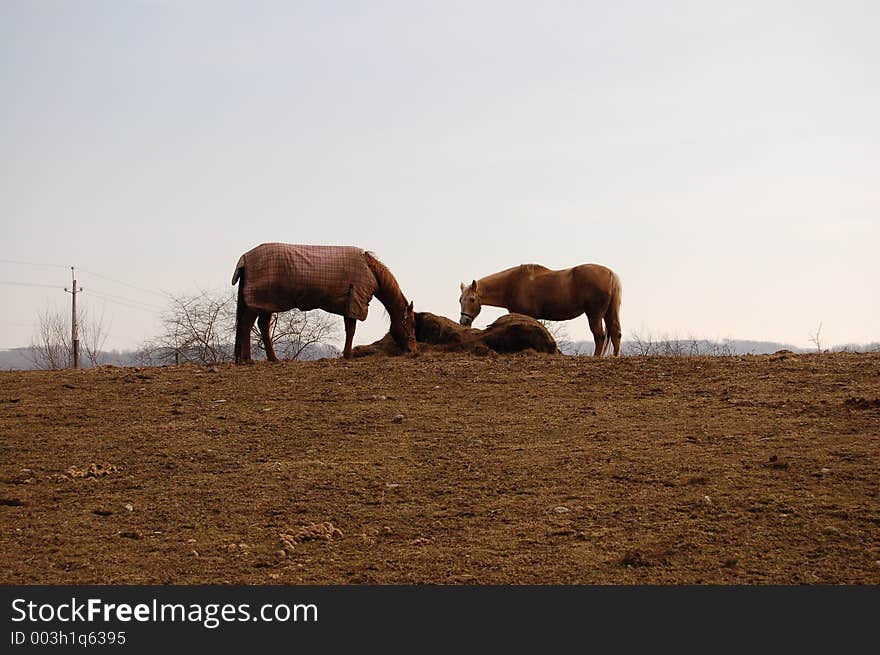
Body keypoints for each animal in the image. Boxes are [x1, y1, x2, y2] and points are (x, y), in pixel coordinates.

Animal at [230, 243, 416, 364]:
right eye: (411, 323)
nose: (413, 350)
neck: (370, 270)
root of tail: (245, 258)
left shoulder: (349, 305)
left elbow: (349, 330)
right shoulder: (354, 303)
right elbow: (351, 330)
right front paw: (347, 355)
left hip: (266, 304)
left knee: (261, 326)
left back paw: (271, 358)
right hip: (258, 303)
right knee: (247, 325)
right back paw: (248, 360)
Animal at [458, 262, 624, 356]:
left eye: (472, 299)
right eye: (460, 300)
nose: (463, 321)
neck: (513, 284)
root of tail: (610, 274)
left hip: (594, 315)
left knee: (600, 336)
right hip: (609, 313)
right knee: (616, 333)